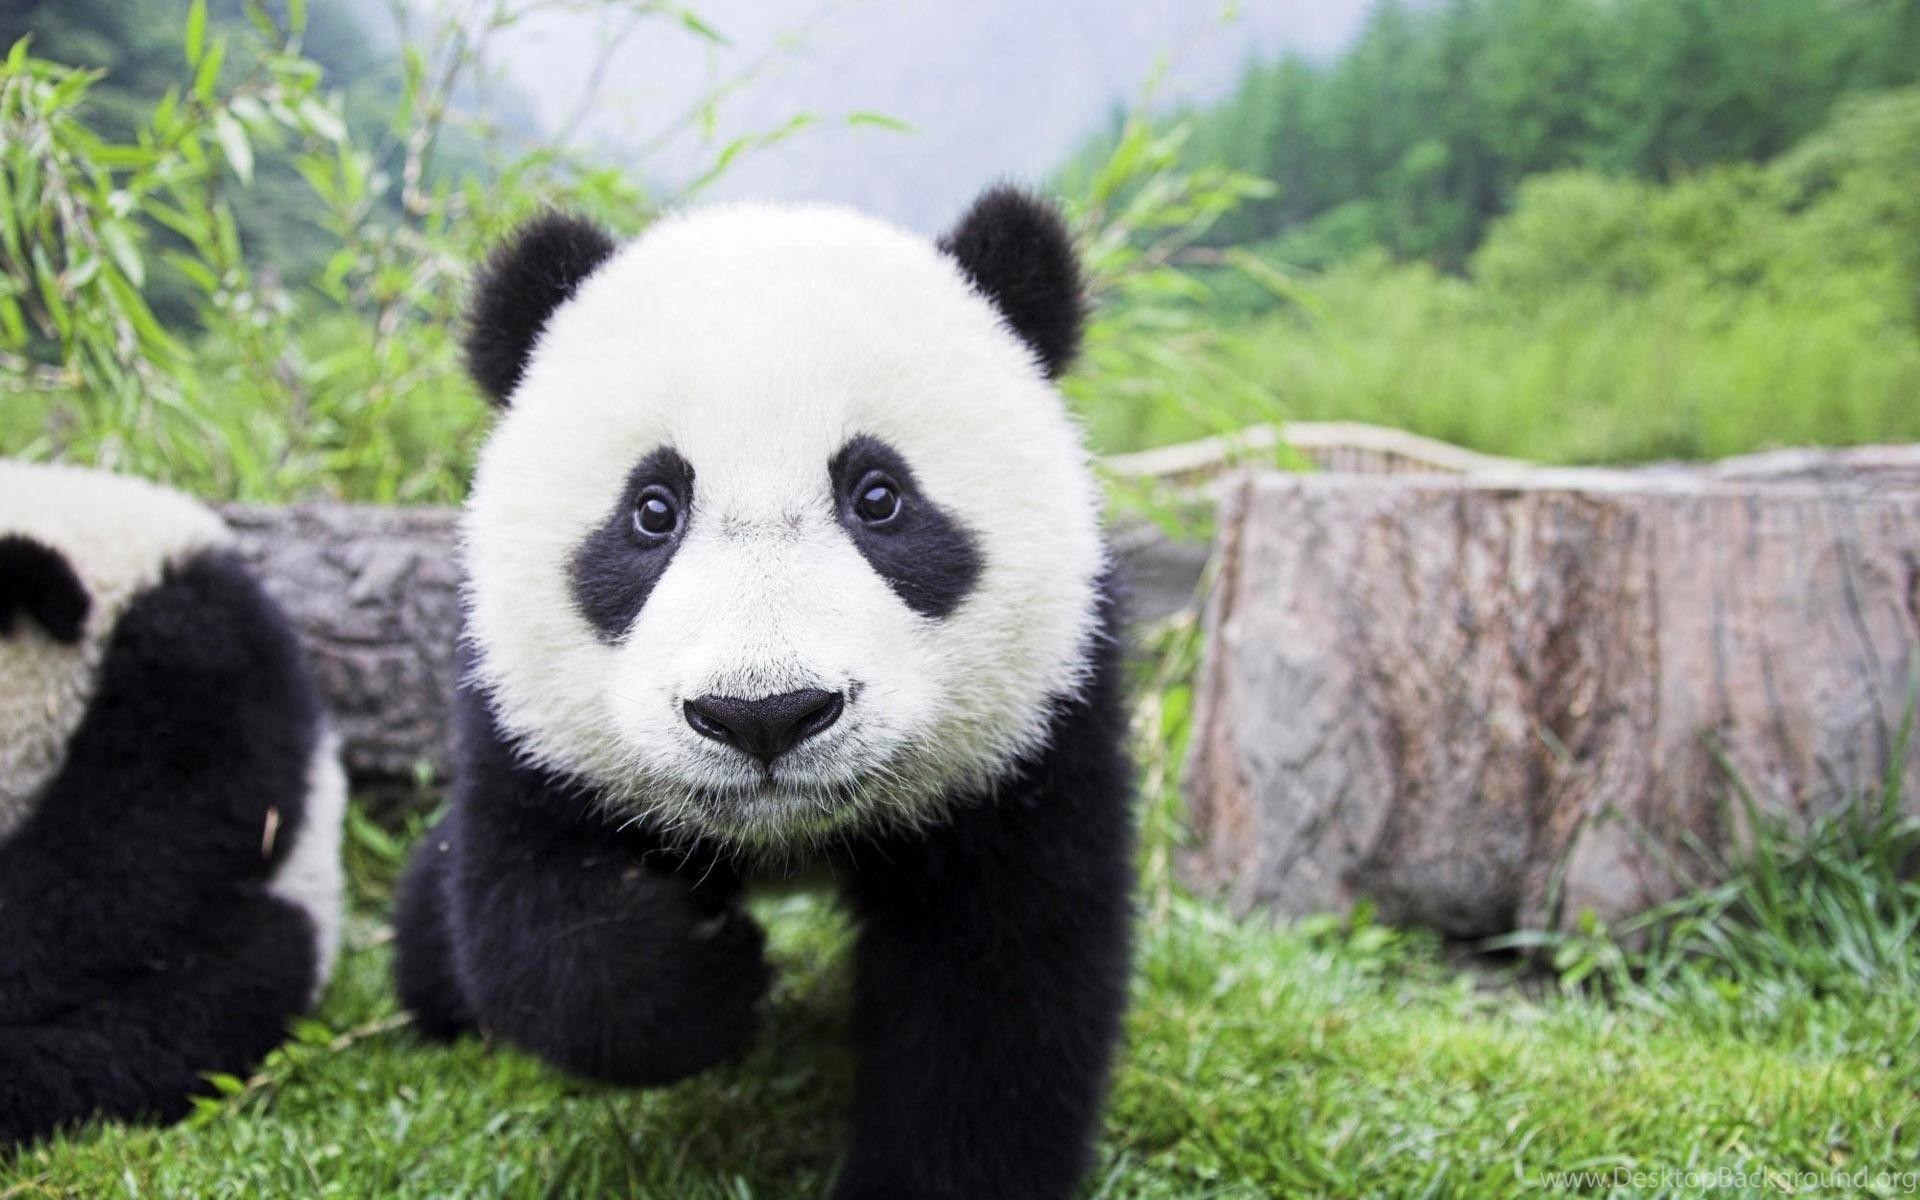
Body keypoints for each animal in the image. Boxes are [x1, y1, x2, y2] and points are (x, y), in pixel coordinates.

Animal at [393, 187, 1135, 1200]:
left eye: (879, 497)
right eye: (652, 510)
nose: (764, 715)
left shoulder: (1040, 726)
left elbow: (1001, 988)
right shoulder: (521, 719)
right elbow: (533, 911)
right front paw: (705, 972)